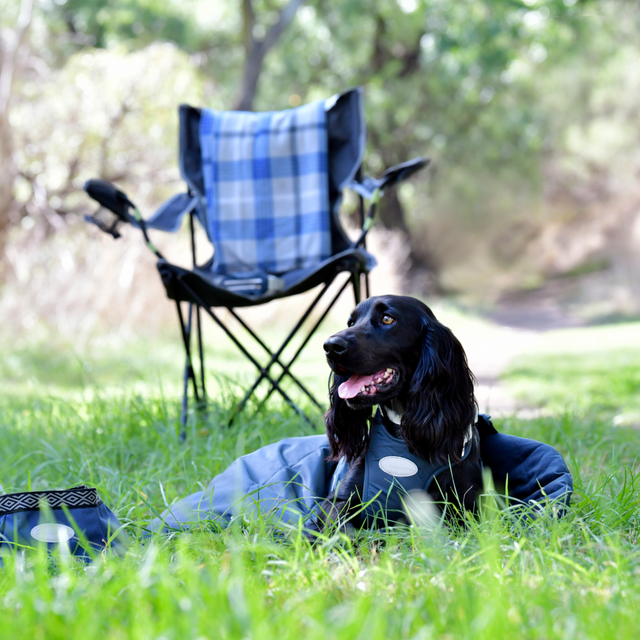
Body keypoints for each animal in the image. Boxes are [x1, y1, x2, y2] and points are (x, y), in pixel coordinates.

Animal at [318, 296, 482, 528]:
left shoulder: (466, 507)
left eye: (387, 319)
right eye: (351, 322)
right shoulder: (338, 500)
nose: (331, 346)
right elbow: (341, 527)